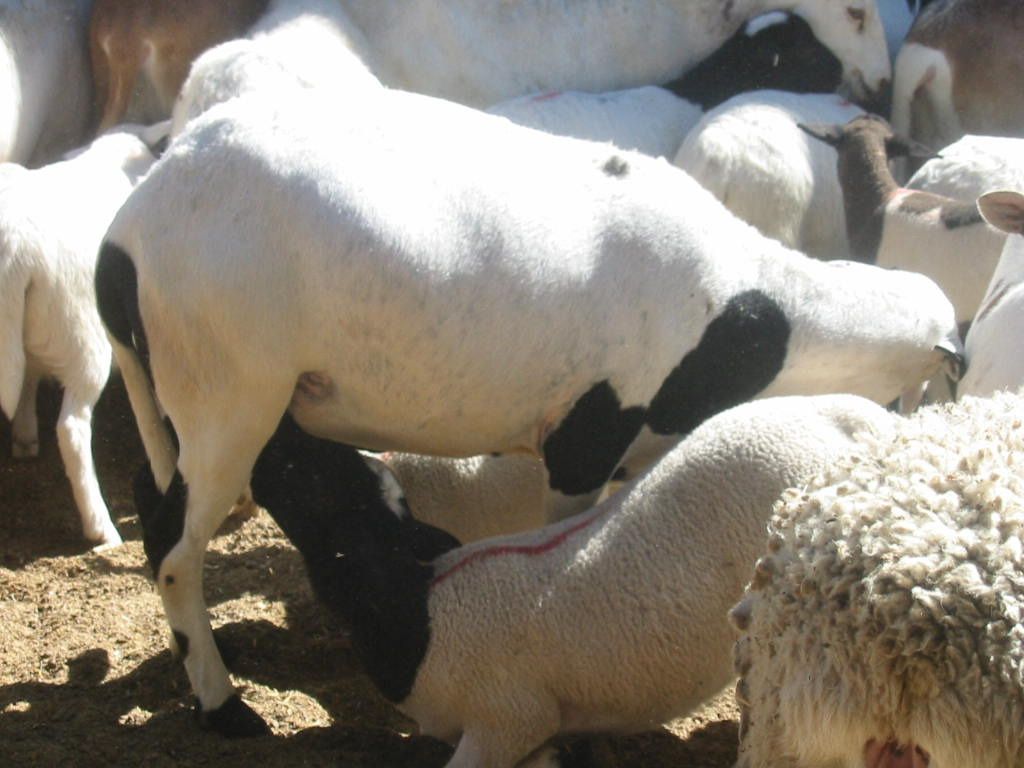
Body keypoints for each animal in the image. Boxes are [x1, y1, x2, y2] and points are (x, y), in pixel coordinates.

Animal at [0, 123, 163, 548]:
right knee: (72, 429)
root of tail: (14, 252)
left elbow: (27, 378)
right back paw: (100, 525)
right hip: (84, 343)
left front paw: (24, 433)